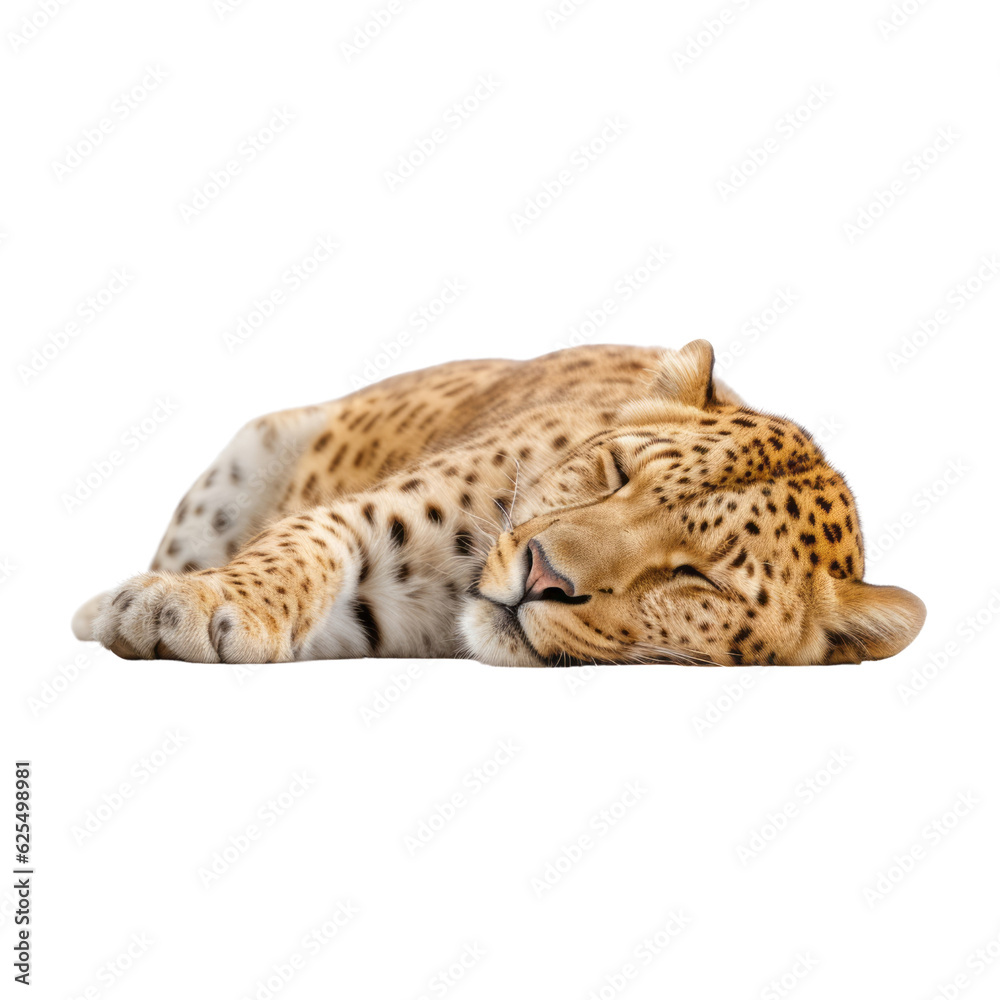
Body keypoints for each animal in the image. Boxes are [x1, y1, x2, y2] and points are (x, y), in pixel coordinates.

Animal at [73, 340, 925, 667]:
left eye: (694, 578)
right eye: (616, 472)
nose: (542, 573)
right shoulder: (377, 513)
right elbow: (299, 542)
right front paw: (183, 603)